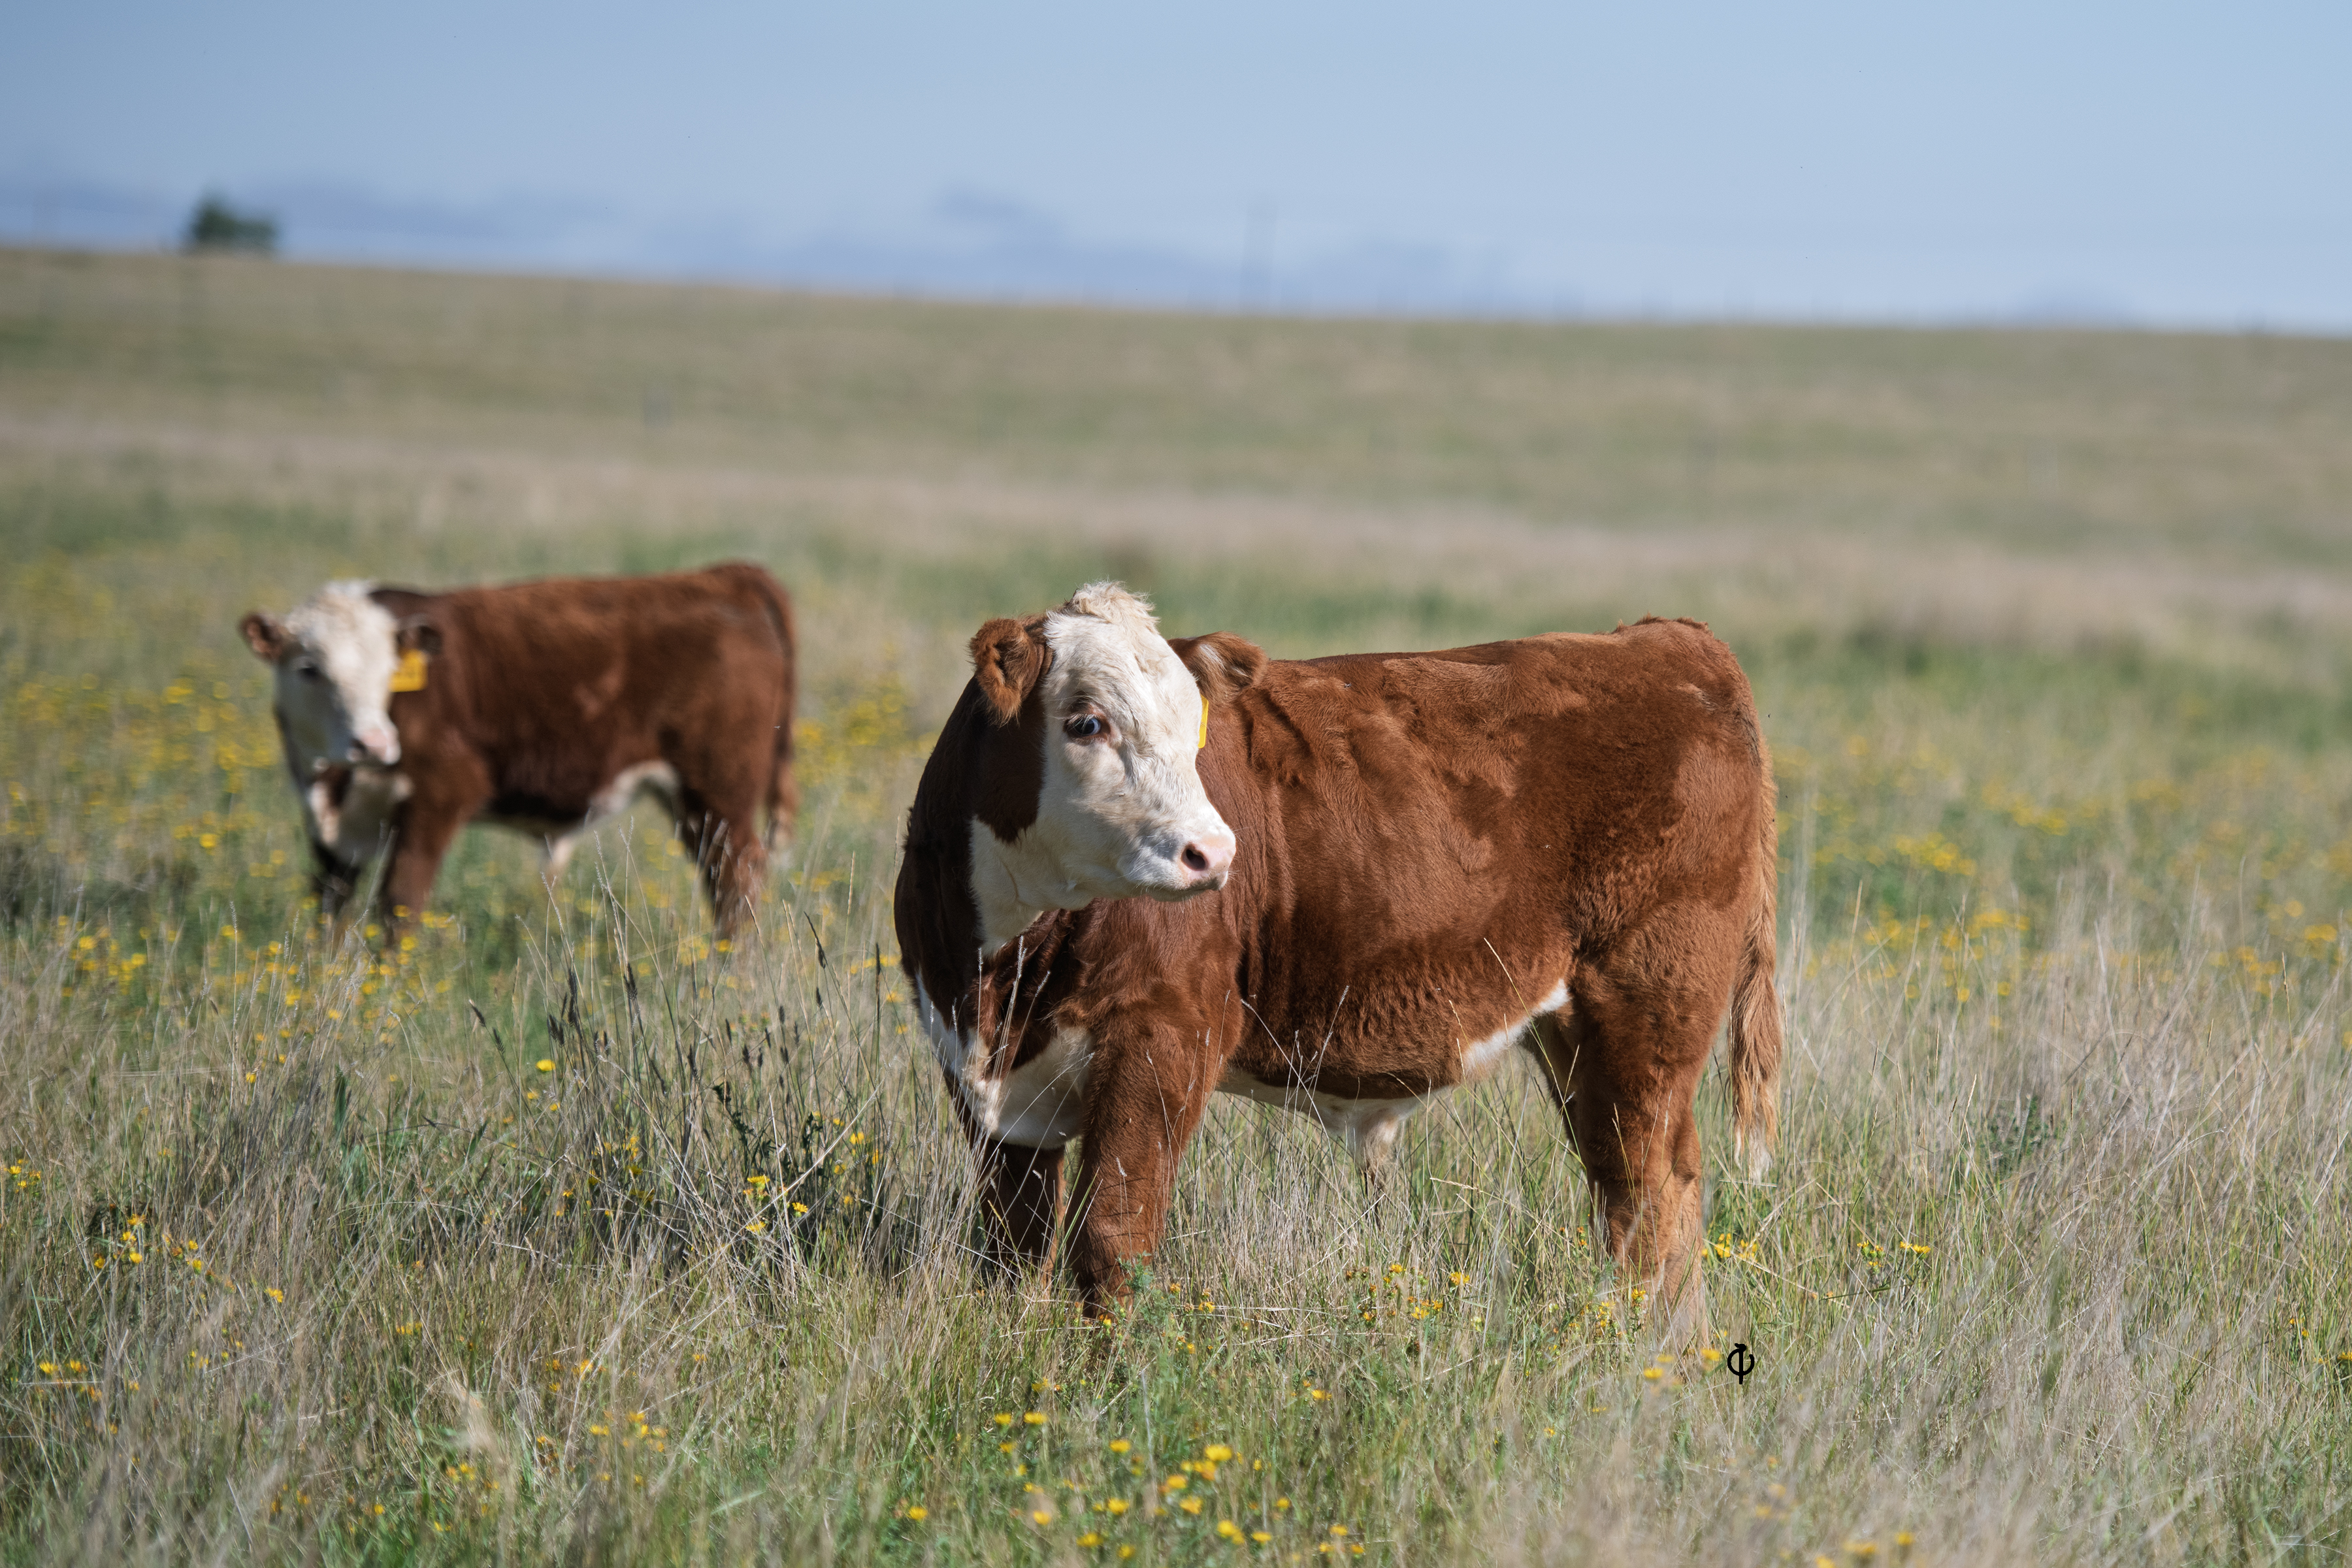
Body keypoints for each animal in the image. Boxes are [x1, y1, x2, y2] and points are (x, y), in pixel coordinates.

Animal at [239, 562, 797, 937]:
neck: (336, 785)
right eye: (308, 668)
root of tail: (725, 575)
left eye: (390, 672)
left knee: (736, 882)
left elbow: (398, 904)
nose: (373, 743)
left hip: (719, 791)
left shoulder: (439, 796)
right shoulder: (327, 828)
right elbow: (329, 905)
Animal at [893, 582, 1780, 1341]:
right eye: (1086, 722)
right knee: (1620, 1179)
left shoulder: (1162, 1038)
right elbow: (1012, 1248)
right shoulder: (981, 1081)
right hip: (1573, 1030)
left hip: (1648, 1007)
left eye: (1195, 728)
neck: (1004, 972)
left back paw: (1660, 1353)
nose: (1214, 853)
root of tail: (1666, 639)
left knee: (1650, 1188)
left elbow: (1114, 1238)